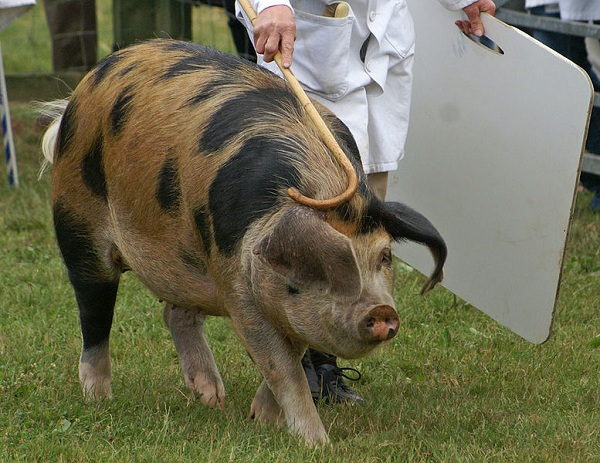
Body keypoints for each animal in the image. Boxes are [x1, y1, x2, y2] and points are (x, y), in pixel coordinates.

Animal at [41, 39, 446, 446]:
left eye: (385, 256)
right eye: (323, 266)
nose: (382, 311)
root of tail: (89, 82)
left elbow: (290, 351)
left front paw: (261, 420)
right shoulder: (236, 283)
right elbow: (280, 365)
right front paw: (316, 443)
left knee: (174, 313)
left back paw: (211, 399)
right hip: (76, 216)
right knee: (94, 310)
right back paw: (99, 398)